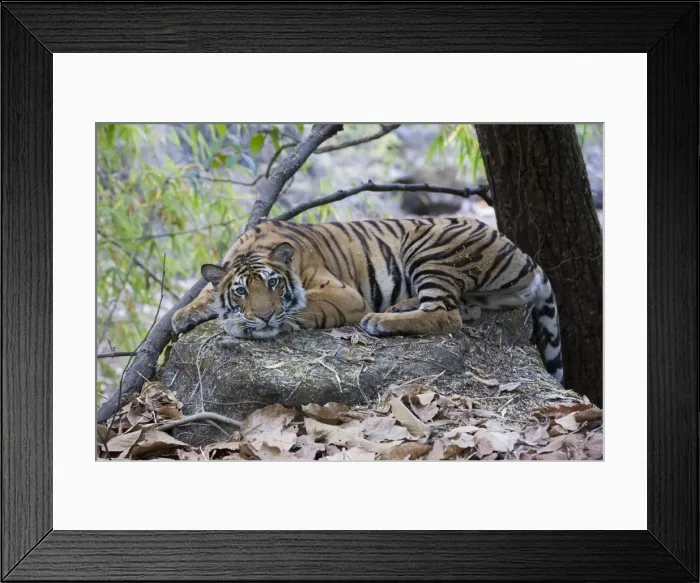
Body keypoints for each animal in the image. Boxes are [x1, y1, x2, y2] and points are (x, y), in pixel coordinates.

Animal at [171, 217, 564, 384]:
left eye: (273, 283)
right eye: (241, 290)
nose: (264, 316)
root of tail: (524, 254)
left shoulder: (343, 294)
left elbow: (302, 309)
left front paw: (248, 325)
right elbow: (206, 292)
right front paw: (183, 314)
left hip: (430, 242)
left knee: (445, 314)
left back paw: (382, 320)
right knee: (464, 308)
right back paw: (400, 306)